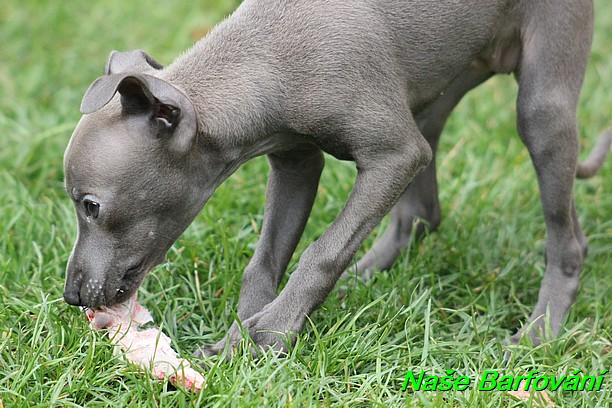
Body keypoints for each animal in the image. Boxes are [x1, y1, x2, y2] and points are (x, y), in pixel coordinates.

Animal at [64, 0, 608, 356]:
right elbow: (264, 263)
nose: (71, 296)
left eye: (91, 206)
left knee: (569, 242)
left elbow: (322, 252)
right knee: (422, 212)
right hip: (432, 97)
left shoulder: (394, 156)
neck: (273, 54)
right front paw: (237, 340)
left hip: (540, 105)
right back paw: (363, 280)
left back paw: (540, 333)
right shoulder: (296, 164)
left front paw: (271, 332)